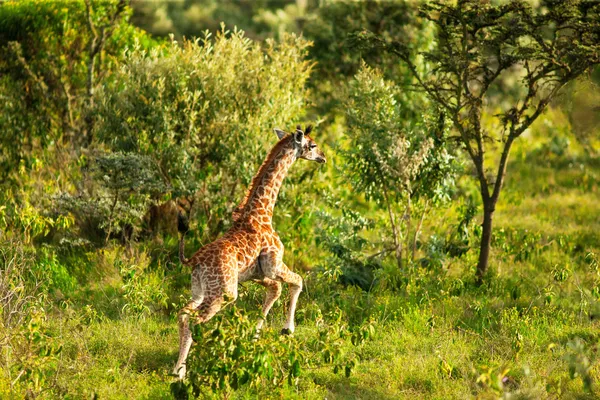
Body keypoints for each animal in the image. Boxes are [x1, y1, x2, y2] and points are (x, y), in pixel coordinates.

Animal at [171, 124, 326, 378]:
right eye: (312, 145)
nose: (323, 157)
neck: (262, 211)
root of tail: (193, 259)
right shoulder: (274, 266)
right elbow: (298, 281)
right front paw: (287, 329)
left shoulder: (256, 275)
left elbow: (276, 290)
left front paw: (255, 337)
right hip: (224, 292)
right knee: (194, 320)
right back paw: (182, 372)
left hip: (200, 290)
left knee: (183, 314)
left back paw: (179, 368)